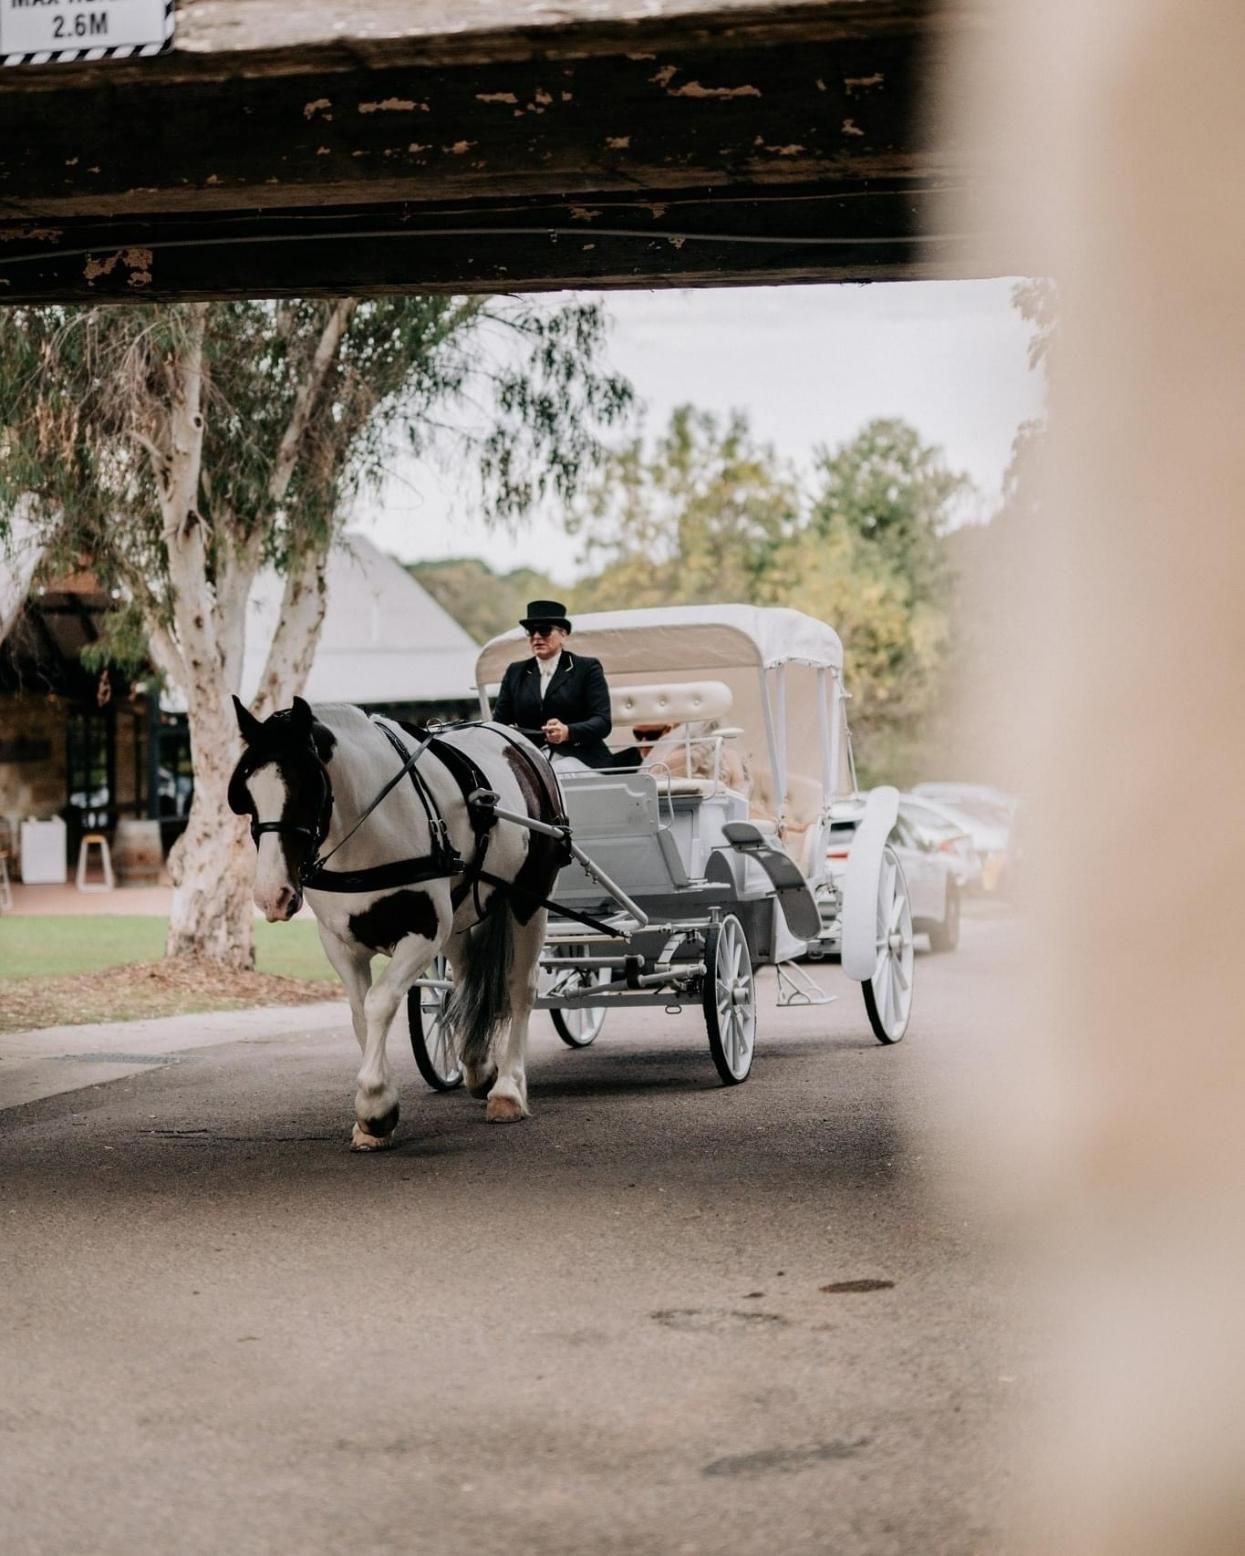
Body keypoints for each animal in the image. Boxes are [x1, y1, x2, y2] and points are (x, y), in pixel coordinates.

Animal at [227, 695, 566, 1151]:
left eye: (305, 788)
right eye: (246, 794)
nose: (272, 895)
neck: (367, 831)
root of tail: (518, 739)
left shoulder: (422, 933)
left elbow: (379, 1002)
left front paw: (375, 1106)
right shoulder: (340, 942)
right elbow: (359, 1012)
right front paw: (375, 1113)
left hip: (529, 899)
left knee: (520, 987)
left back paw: (509, 1089)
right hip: (462, 911)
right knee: (464, 980)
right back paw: (477, 1064)